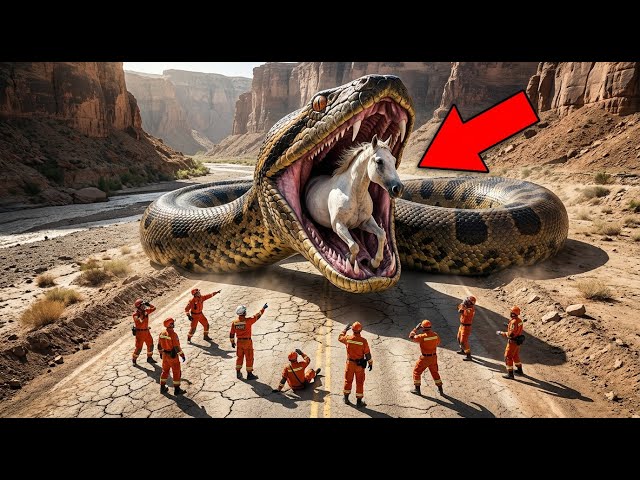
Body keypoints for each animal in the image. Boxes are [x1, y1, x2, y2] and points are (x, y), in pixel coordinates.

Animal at [304, 134, 404, 272]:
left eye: (393, 160)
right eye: (379, 161)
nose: (398, 189)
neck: (355, 194)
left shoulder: (365, 221)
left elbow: (381, 234)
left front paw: (374, 262)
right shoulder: (339, 225)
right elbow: (354, 246)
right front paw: (350, 259)